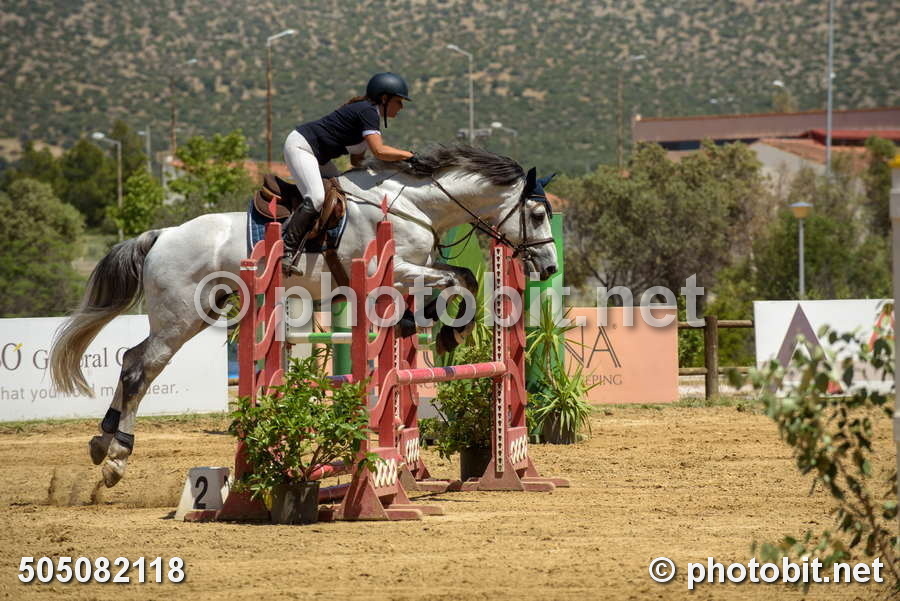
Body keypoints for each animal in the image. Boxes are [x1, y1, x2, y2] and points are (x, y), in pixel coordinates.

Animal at [49, 144, 558, 488]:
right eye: (536, 214)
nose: (550, 267)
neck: (413, 206)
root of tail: (161, 235)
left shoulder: (412, 270)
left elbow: (458, 279)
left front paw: (432, 324)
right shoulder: (392, 267)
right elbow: (458, 281)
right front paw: (448, 331)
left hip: (196, 313)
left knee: (132, 359)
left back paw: (102, 441)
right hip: (179, 316)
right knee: (142, 367)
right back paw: (117, 455)